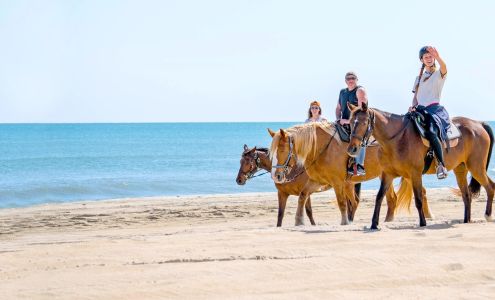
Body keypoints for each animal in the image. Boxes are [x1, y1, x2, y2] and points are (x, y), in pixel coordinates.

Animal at [272, 122, 430, 225]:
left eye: (283, 150)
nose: (278, 176)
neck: (321, 147)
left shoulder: (337, 182)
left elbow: (342, 203)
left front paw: (344, 222)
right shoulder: (317, 181)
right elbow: (302, 196)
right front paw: (299, 221)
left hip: (408, 173)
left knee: (418, 192)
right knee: (393, 198)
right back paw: (388, 220)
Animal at [348, 102, 495, 229]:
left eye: (364, 123)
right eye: (350, 122)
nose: (352, 149)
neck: (397, 139)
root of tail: (479, 123)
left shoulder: (415, 174)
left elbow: (418, 198)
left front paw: (423, 222)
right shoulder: (387, 174)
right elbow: (379, 197)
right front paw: (374, 224)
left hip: (476, 167)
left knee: (490, 187)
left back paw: (487, 215)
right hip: (461, 169)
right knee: (467, 195)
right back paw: (466, 220)